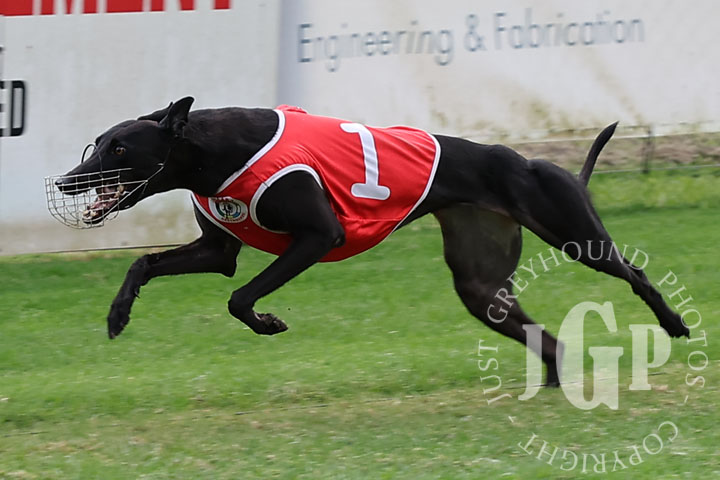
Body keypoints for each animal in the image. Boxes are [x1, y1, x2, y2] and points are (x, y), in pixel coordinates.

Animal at [53, 97, 689, 386]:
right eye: (97, 142)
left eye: (119, 148)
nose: (65, 181)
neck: (213, 149)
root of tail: (539, 162)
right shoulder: (217, 251)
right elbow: (144, 264)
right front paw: (117, 315)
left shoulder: (315, 236)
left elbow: (239, 297)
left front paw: (268, 322)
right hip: (480, 285)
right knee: (540, 334)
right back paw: (556, 381)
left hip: (575, 234)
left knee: (634, 274)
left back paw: (674, 323)